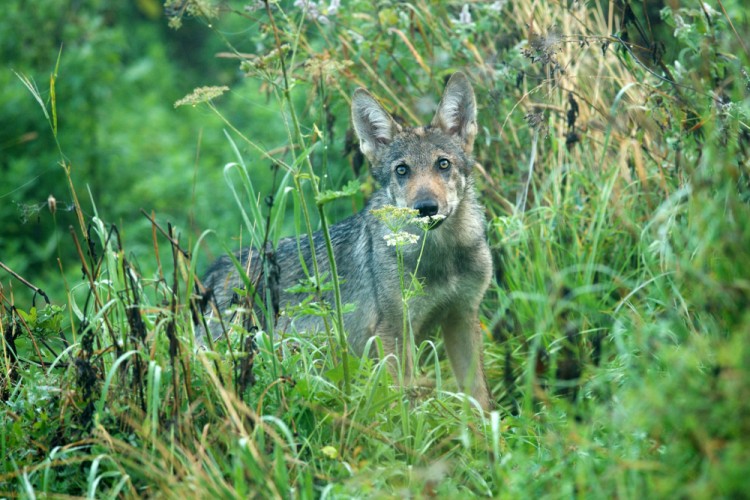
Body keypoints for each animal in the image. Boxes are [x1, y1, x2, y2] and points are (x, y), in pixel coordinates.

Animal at [198, 74, 494, 410]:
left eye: (443, 164)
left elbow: (481, 401)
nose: (426, 207)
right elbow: (400, 408)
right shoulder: (392, 333)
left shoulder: (462, 318)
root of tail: (214, 272)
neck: (442, 256)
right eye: (402, 170)